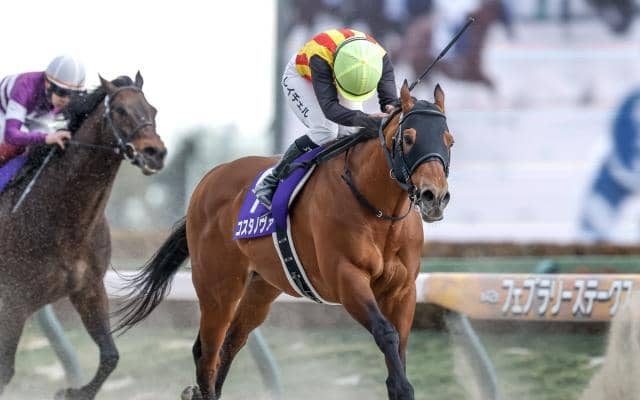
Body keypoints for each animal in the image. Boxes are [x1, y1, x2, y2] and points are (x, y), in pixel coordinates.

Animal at [0, 73, 166, 399]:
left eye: (152, 110)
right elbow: (5, 370)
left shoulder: (89, 288)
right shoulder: (14, 299)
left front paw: (71, 392)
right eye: (120, 111)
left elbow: (110, 356)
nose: (155, 153)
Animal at [116, 81, 453, 400]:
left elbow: (400, 343)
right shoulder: (347, 278)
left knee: (230, 343)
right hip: (218, 286)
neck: (380, 211)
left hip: (260, 287)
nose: (434, 196)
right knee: (207, 352)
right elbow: (386, 333)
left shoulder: (403, 289)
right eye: (408, 138)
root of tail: (207, 182)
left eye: (449, 140)